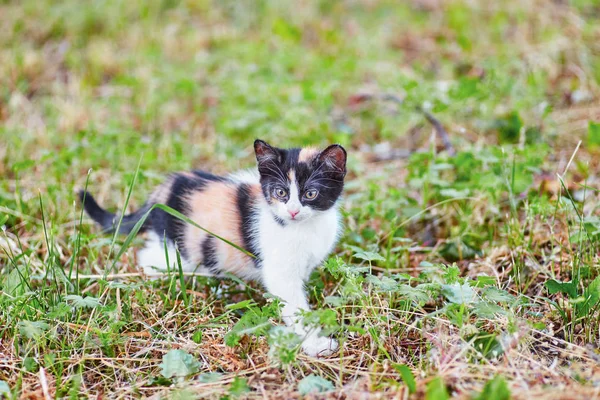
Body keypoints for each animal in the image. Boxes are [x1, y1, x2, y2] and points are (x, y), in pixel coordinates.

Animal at [82, 140, 350, 356]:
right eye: (280, 192)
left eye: (311, 193)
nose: (293, 211)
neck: (305, 228)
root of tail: (160, 193)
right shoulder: (280, 273)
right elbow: (295, 307)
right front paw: (316, 344)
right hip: (178, 247)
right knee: (149, 257)